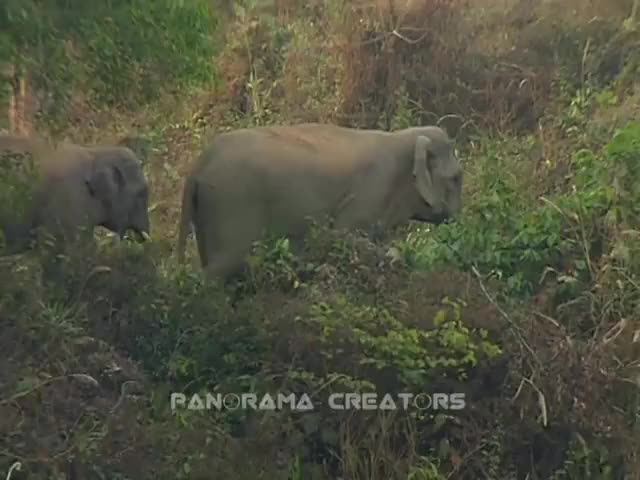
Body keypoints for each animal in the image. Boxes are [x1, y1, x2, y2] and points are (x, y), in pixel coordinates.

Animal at [178, 124, 462, 280]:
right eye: (456, 178)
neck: (402, 138)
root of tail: (199, 163)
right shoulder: (370, 191)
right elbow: (343, 235)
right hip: (232, 204)